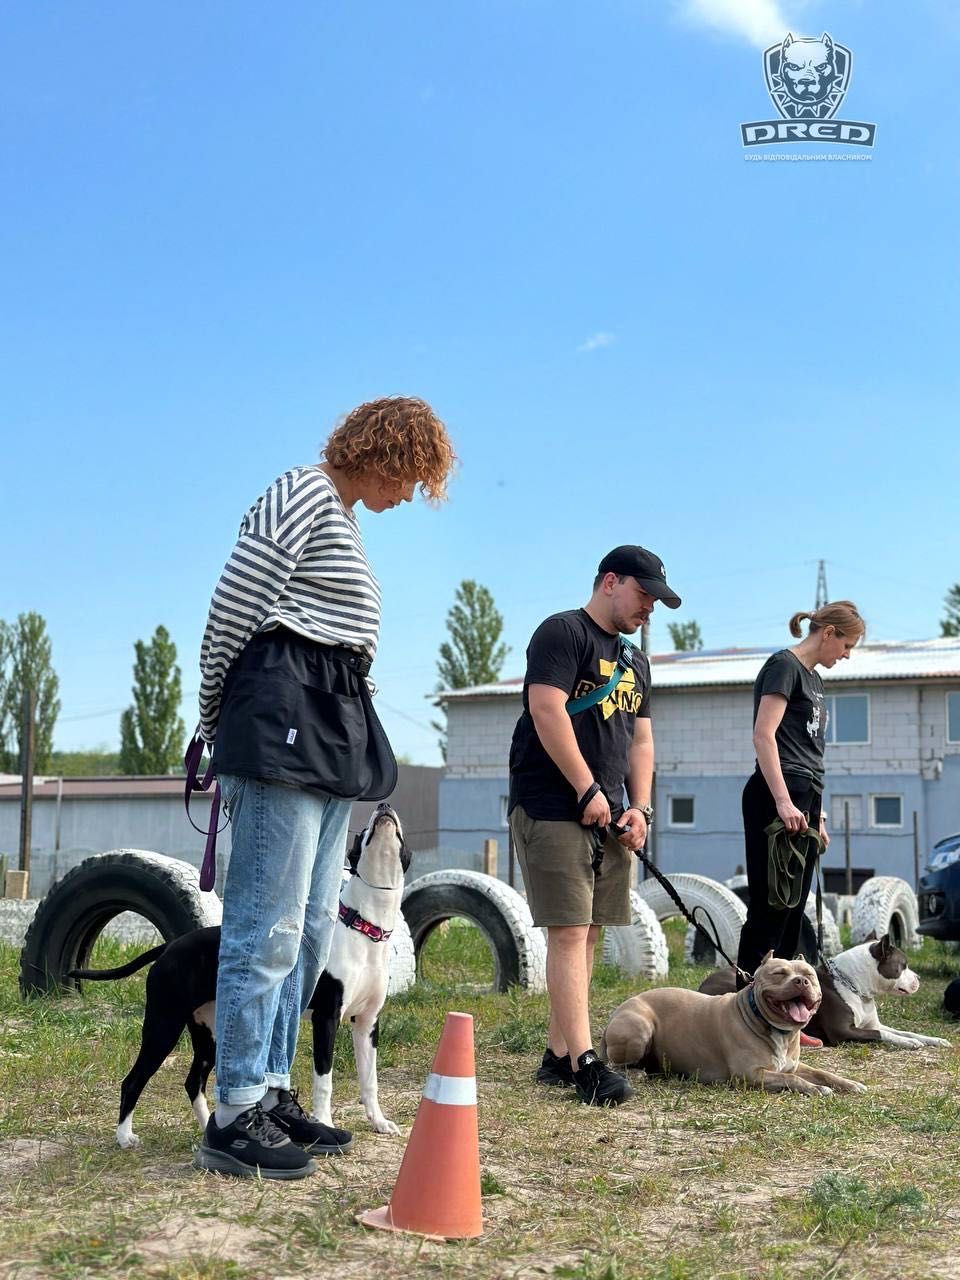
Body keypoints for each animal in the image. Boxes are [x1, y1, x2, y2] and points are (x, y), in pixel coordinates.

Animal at [69, 798, 409, 1152]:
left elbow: (370, 1080)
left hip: (209, 1032)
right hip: (164, 1025)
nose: (384, 806)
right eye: (362, 833)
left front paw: (379, 1122)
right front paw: (325, 1125)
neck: (363, 926)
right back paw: (125, 1136)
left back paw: (211, 1129)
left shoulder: (367, 1023)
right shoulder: (326, 1019)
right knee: (133, 1080)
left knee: (193, 1081)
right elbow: (324, 1080)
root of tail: (170, 946)